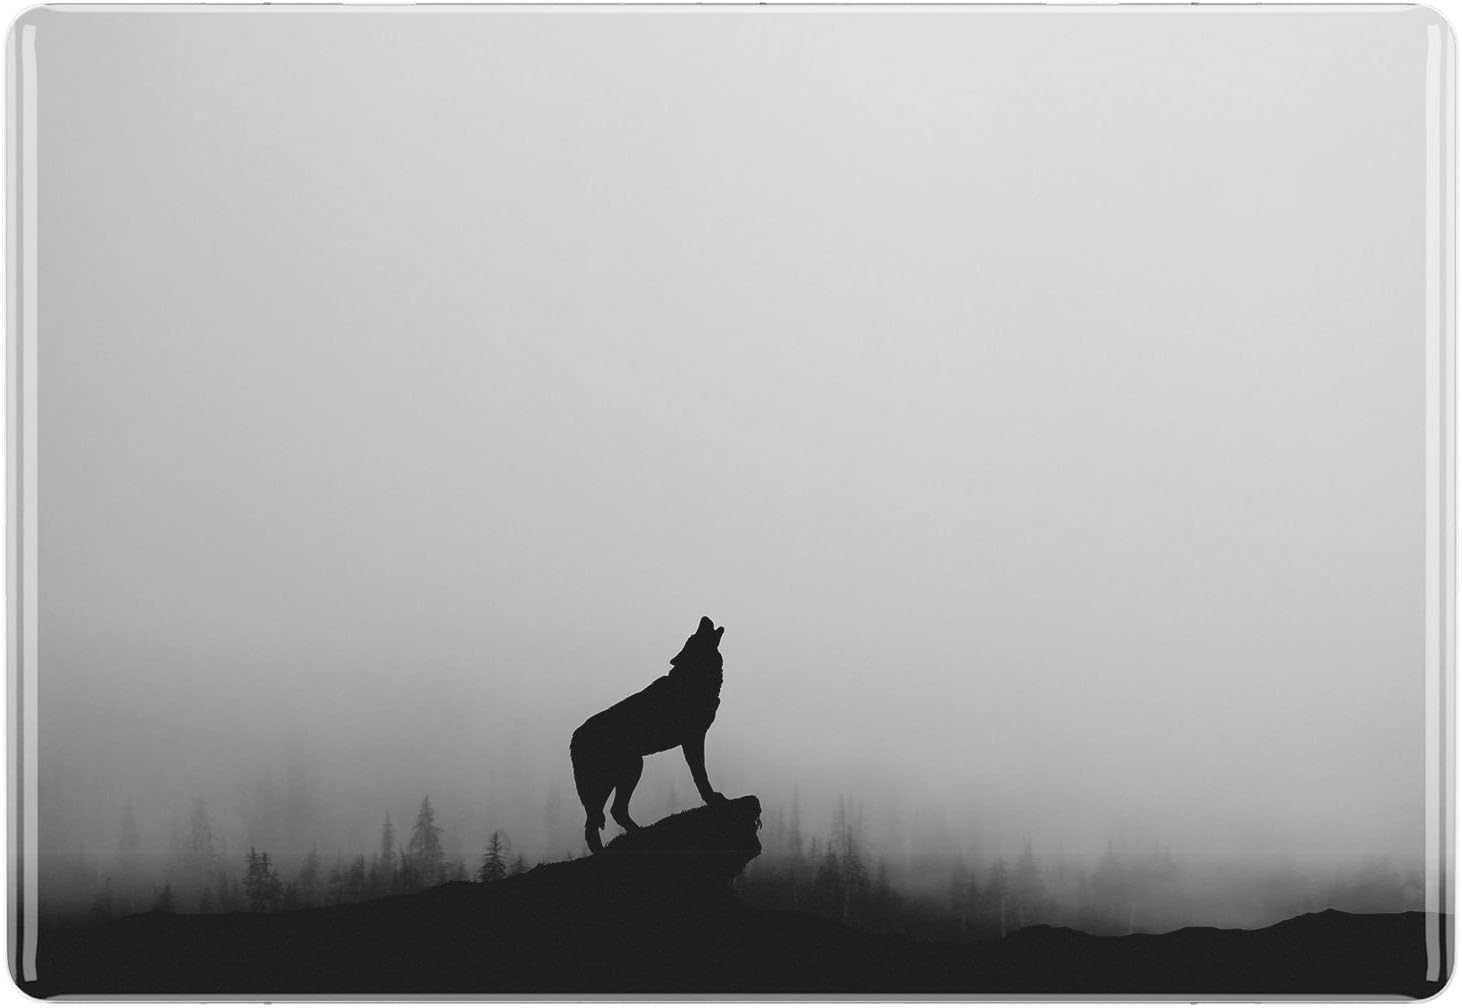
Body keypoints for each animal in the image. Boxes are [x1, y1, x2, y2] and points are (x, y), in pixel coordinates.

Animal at [570, 616, 727, 853]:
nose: (704, 617)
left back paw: (632, 835)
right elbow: (700, 775)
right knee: (602, 817)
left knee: (603, 816)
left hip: (620, 775)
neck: (691, 679)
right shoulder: (692, 739)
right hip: (626, 771)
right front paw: (712, 799)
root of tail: (574, 737)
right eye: (694, 636)